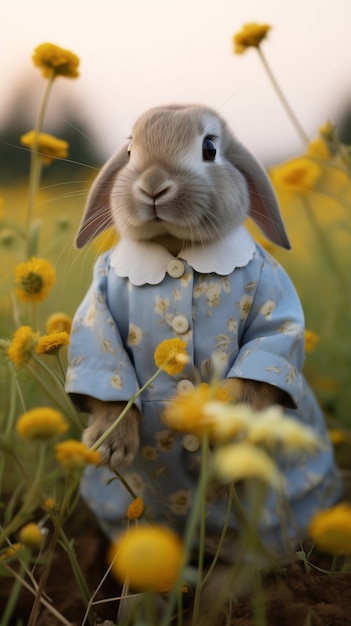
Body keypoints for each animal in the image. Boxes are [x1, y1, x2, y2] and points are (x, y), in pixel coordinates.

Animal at [65, 103, 340, 616]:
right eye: (129, 152)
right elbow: (109, 379)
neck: (177, 251)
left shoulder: (275, 314)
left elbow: (263, 357)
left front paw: (223, 421)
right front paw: (110, 446)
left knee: (252, 557)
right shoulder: (97, 321)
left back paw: (216, 600)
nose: (154, 185)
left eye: (209, 149)